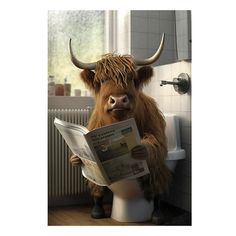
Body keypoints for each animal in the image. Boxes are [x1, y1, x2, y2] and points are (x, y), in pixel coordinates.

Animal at [68, 32, 171, 219]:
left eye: (131, 78)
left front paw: (140, 149)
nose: (117, 100)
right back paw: (97, 210)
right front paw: (75, 158)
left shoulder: (155, 128)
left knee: (157, 176)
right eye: (102, 80)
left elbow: (157, 144)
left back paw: (157, 213)